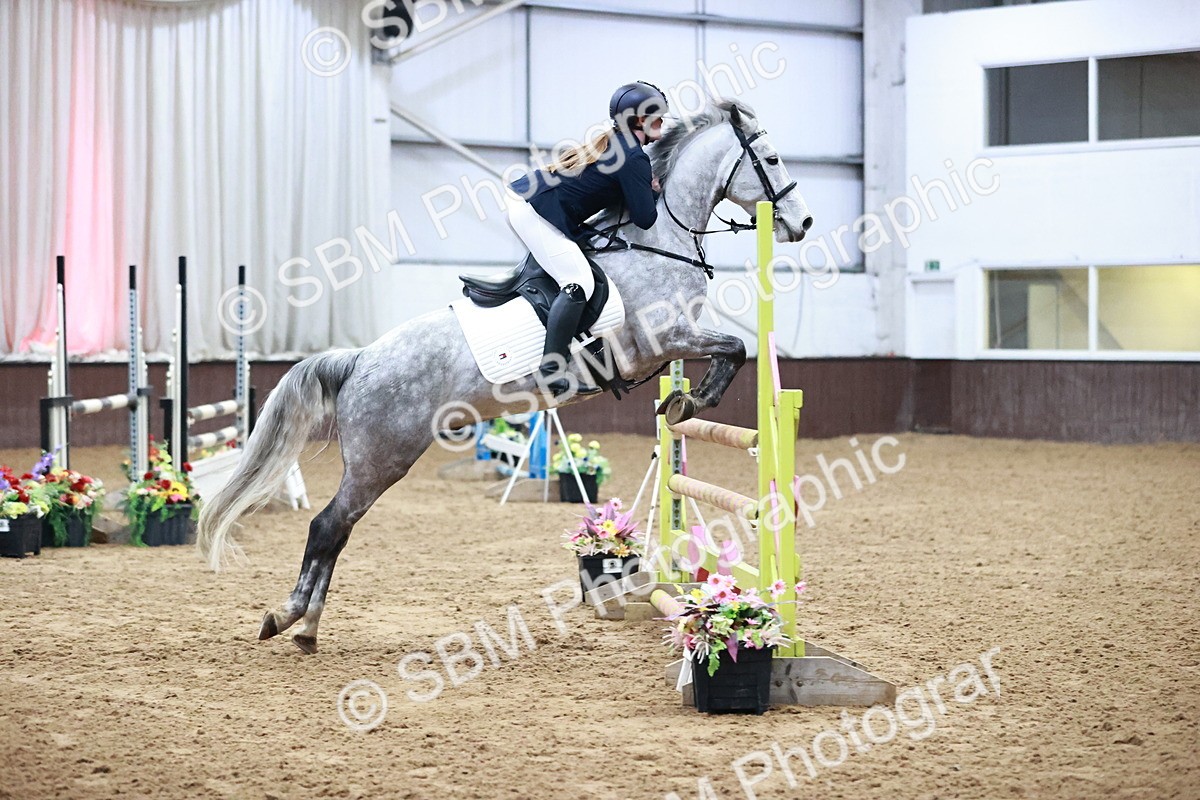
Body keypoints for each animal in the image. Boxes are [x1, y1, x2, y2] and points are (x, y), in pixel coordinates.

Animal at [196, 99, 813, 654]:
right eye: (772, 159)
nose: (802, 223)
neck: (659, 240)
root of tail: (362, 358)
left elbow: (726, 353)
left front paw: (680, 403)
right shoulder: (662, 342)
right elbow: (735, 347)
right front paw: (693, 402)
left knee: (338, 530)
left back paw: (306, 627)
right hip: (382, 458)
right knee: (329, 526)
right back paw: (289, 618)